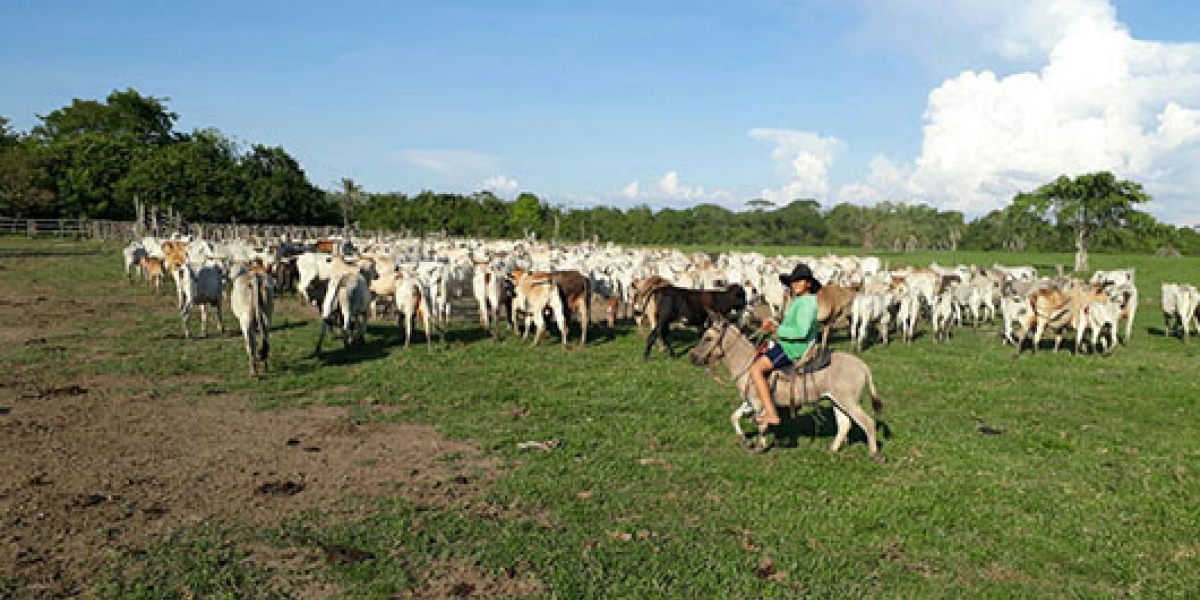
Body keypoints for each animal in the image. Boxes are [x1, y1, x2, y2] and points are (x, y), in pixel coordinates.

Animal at [696, 312, 883, 456]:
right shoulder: (750, 402)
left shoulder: (758, 403)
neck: (747, 363)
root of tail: (862, 365)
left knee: (868, 423)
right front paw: (744, 440)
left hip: (849, 402)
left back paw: (874, 454)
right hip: (837, 401)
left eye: (707, 338)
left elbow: (761, 425)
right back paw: (832, 449)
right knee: (845, 424)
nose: (692, 356)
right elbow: (734, 416)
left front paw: (760, 446)